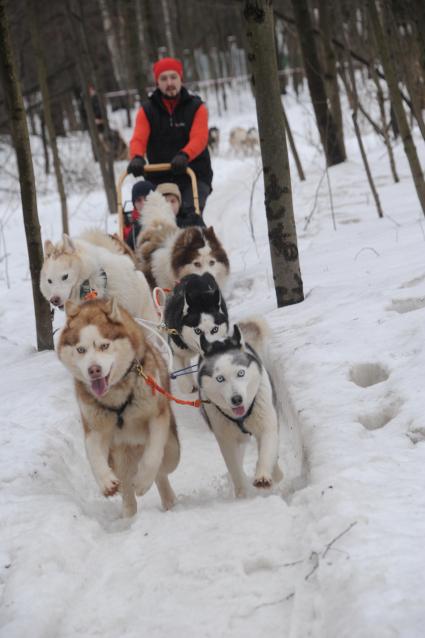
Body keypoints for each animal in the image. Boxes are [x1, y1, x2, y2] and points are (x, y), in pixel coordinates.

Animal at [56, 298, 179, 516]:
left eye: (104, 346)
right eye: (81, 349)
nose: (94, 370)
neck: (118, 399)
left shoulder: (156, 416)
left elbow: (153, 456)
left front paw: (143, 481)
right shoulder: (95, 427)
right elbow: (94, 456)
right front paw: (106, 482)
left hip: (172, 449)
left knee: (162, 470)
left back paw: (165, 496)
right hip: (121, 456)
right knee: (127, 486)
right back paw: (129, 515)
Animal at [197, 320, 284, 500]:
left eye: (241, 373)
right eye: (220, 378)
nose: (236, 399)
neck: (241, 417)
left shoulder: (266, 425)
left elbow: (267, 450)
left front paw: (263, 475)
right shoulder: (226, 439)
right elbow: (234, 466)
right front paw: (242, 491)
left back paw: (276, 472)